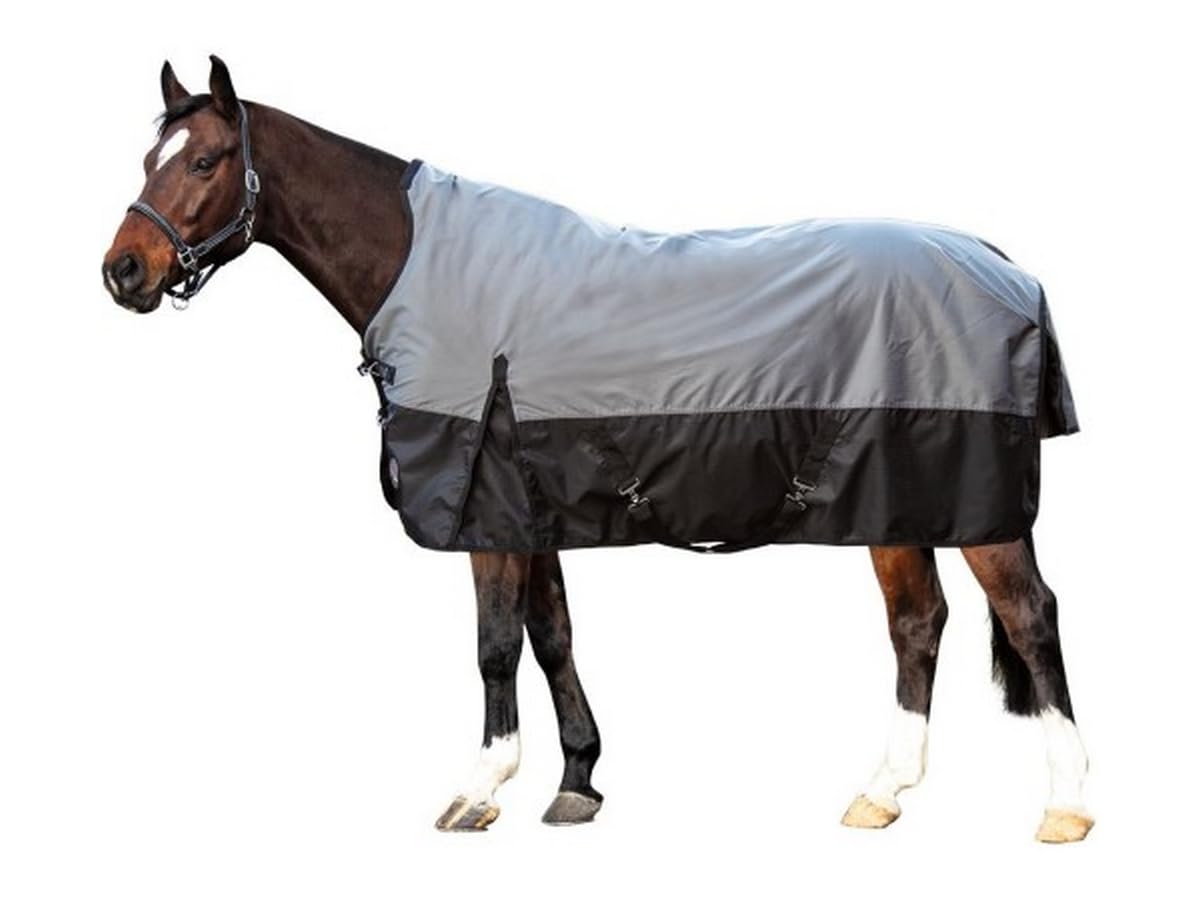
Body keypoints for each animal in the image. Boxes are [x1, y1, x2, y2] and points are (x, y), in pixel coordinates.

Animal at [101, 56, 1092, 842]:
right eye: (150, 158)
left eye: (204, 160)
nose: (124, 271)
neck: (430, 268)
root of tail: (1004, 264)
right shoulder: (526, 507)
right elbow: (552, 637)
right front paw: (577, 781)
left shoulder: (488, 511)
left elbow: (495, 644)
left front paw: (479, 789)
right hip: (897, 499)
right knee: (917, 623)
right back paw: (883, 791)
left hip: (978, 510)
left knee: (1029, 618)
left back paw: (1067, 806)